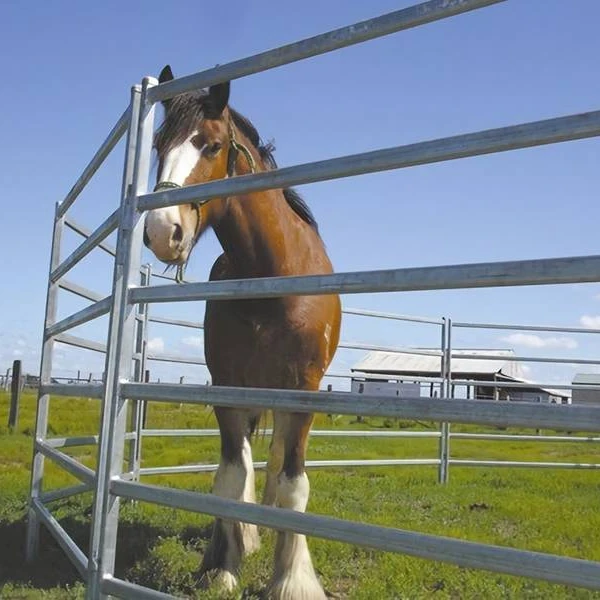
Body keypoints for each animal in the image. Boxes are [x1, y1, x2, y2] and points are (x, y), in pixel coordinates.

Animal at [142, 63, 342, 596]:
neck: (272, 278)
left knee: (275, 461)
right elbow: (231, 476)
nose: (161, 231)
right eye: (158, 146)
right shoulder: (228, 388)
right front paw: (224, 568)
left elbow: (292, 482)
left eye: (211, 145)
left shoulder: (302, 391)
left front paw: (291, 579)